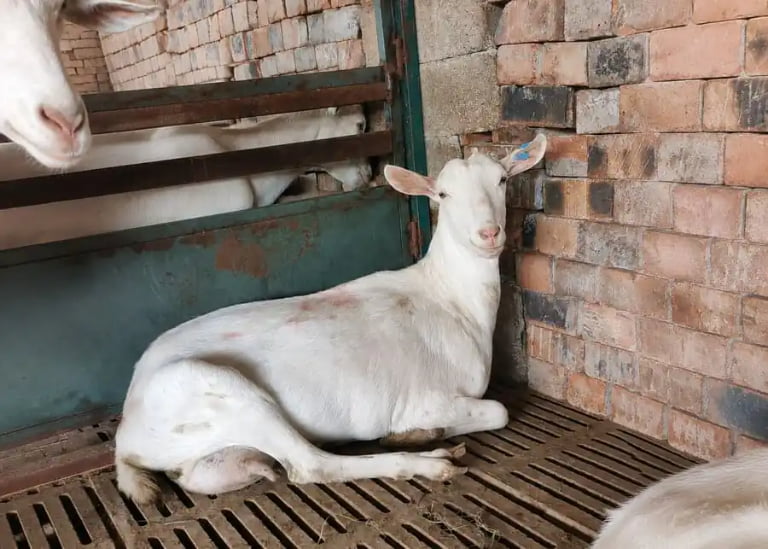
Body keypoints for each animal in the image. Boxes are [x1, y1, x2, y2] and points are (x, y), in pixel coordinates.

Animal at [112, 135, 547, 504]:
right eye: (443, 193)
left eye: (503, 180)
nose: (488, 233)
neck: (450, 297)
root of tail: (126, 434)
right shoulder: (425, 398)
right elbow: (498, 411)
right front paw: (413, 434)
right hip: (221, 392)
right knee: (309, 465)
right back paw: (430, 462)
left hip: (209, 449)